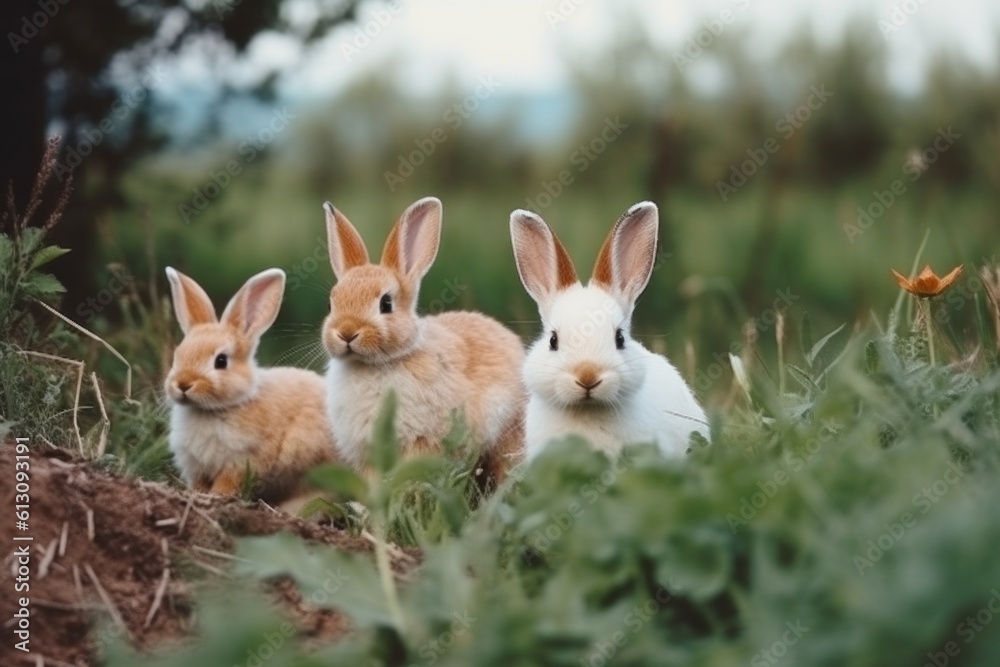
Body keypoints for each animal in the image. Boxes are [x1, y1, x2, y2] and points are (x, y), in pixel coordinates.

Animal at [164, 266, 339, 509]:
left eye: (221, 361)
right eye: (177, 356)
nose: (183, 384)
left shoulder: (240, 461)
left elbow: (227, 483)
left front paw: (216, 497)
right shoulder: (197, 467)